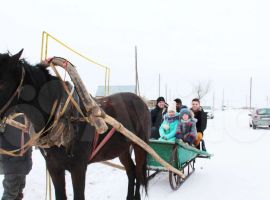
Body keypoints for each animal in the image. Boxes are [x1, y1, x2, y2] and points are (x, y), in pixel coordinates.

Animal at [0, 49, 150, 198]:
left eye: (2, 84)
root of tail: (141, 101)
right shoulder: (53, 167)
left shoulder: (78, 168)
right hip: (122, 148)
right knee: (131, 171)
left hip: (140, 145)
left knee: (138, 172)